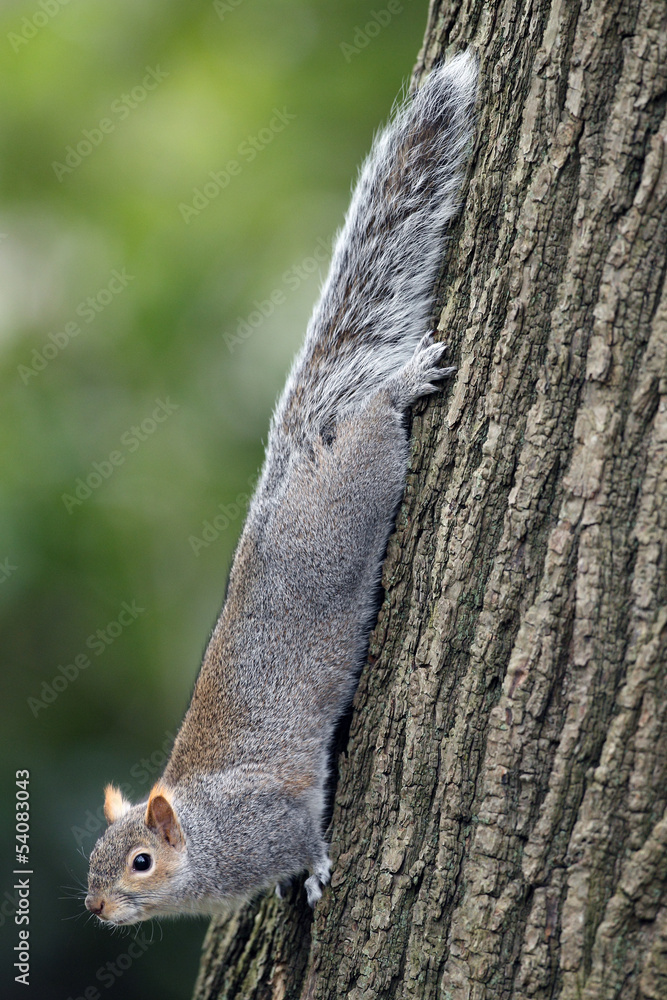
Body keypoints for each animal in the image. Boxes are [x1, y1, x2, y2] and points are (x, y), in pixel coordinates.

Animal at [85, 51, 477, 925]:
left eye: (139, 862)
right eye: (90, 860)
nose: (94, 910)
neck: (205, 839)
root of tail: (287, 478)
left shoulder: (273, 819)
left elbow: (305, 835)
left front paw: (317, 871)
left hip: (351, 498)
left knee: (371, 431)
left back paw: (399, 386)